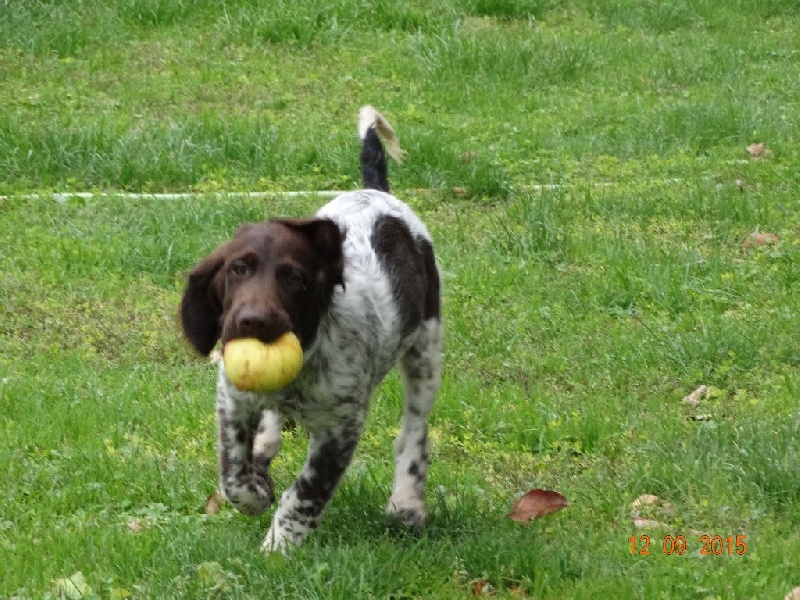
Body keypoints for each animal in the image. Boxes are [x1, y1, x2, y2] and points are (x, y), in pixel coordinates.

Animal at [180, 104, 444, 552]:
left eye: (294, 278)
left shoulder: (342, 426)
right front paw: (256, 491)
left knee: (413, 431)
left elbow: (307, 490)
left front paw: (280, 545)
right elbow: (233, 475)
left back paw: (407, 504)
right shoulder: (232, 399)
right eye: (238, 269)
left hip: (425, 349)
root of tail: (380, 193)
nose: (252, 321)